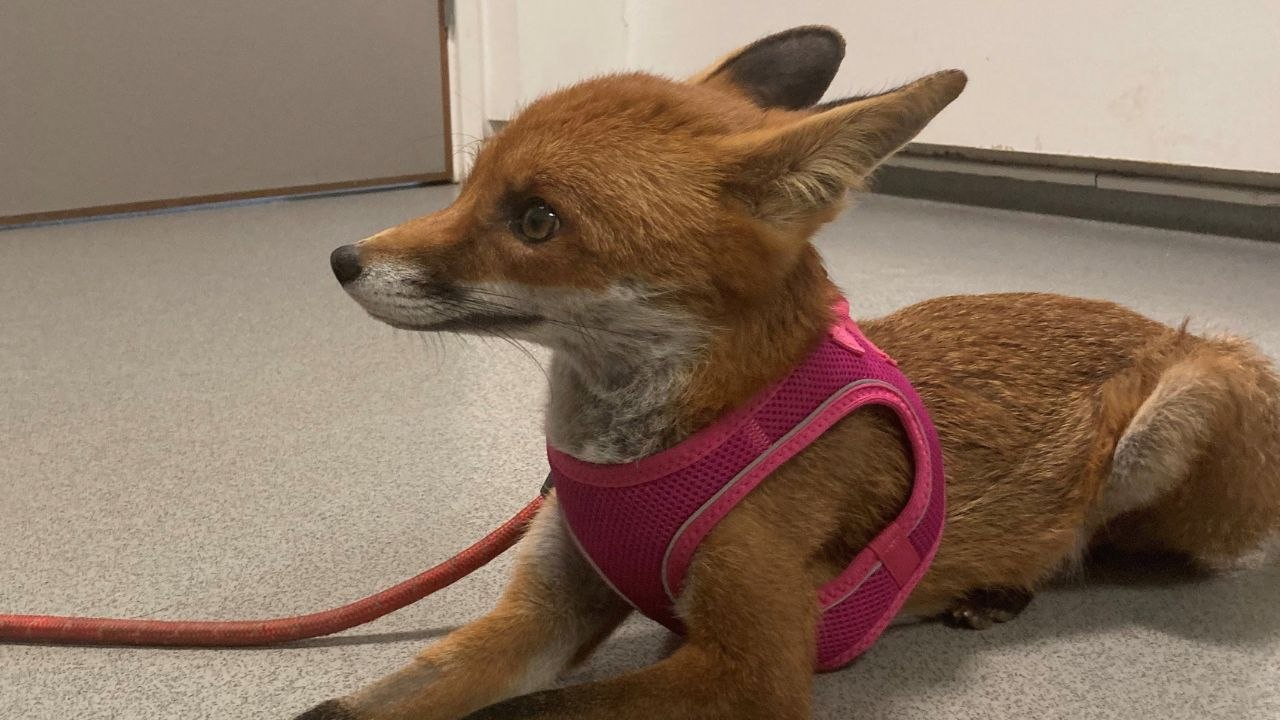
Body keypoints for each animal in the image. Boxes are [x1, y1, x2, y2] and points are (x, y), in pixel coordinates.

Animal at [299, 26, 1280, 720]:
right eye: (470, 186)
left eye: (537, 219)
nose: (343, 258)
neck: (633, 458)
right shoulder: (543, 614)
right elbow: (356, 706)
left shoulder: (751, 671)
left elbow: (530, 713)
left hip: (1180, 416)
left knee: (1101, 541)